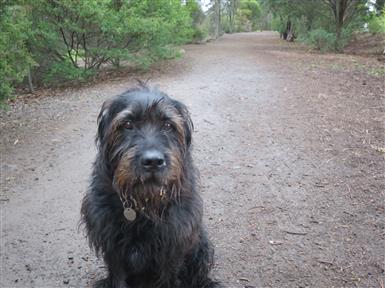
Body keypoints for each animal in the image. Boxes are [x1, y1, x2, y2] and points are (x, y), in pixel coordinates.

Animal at [80, 86, 219, 288]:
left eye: (168, 125)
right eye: (127, 124)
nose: (153, 161)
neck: (144, 204)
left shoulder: (173, 247)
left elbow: (169, 278)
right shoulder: (113, 248)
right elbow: (117, 277)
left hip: (201, 244)